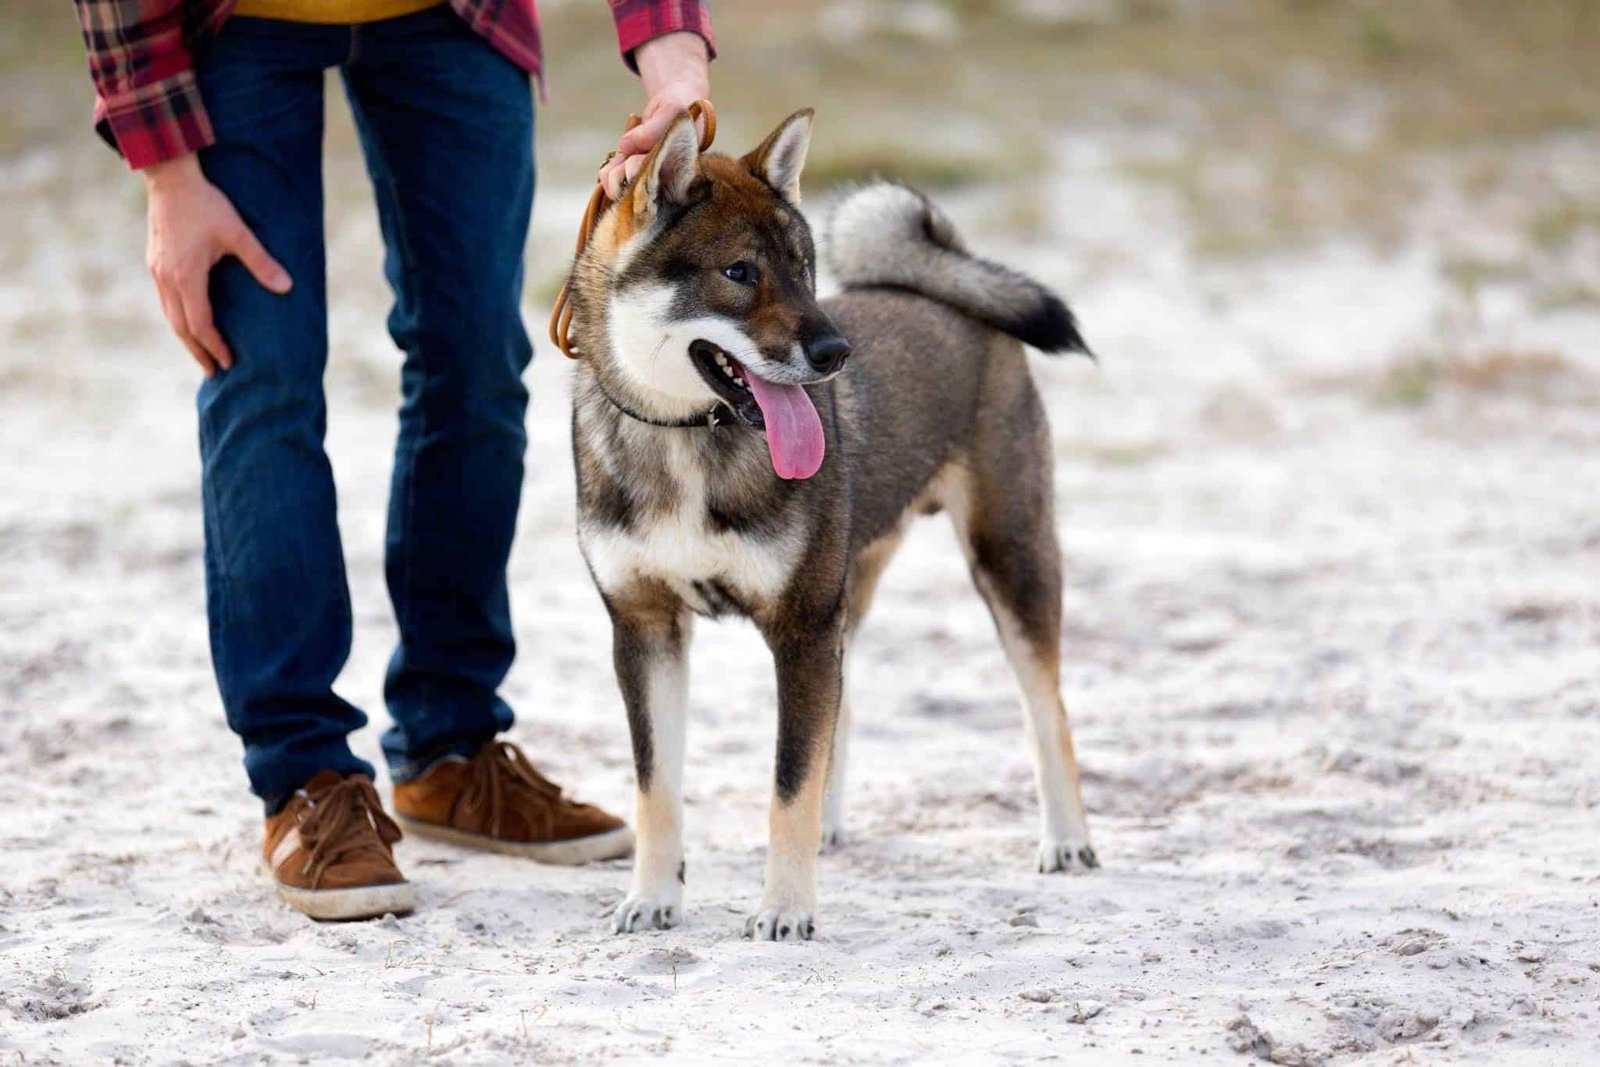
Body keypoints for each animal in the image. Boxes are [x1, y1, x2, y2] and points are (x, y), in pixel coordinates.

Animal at [563, 110, 1100, 940]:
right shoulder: (646, 628)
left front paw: (785, 907)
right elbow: (658, 786)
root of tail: (944, 283)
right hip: (854, 591)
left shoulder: (801, 625)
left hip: (1011, 558)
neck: (688, 441)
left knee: (1047, 709)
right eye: (740, 272)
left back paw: (1067, 836)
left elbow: (789, 782)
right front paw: (652, 896)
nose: (836, 352)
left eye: (806, 269)